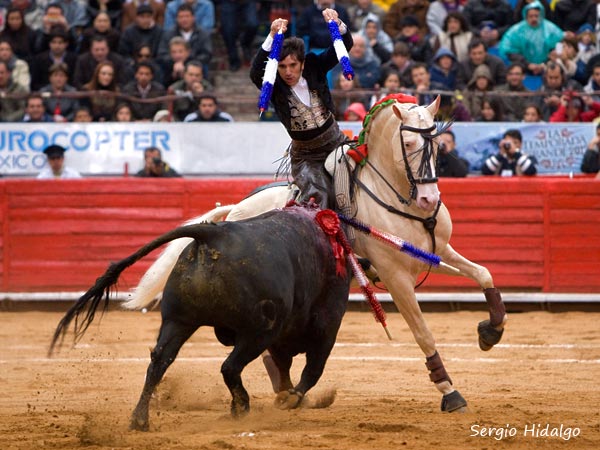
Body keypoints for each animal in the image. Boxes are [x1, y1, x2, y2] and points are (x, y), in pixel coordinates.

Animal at [48, 206, 352, 430]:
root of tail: (212, 235)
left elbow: (283, 365)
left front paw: (287, 397)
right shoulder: (327, 325)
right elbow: (311, 368)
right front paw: (292, 399)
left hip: (178, 321)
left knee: (159, 361)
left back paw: (140, 419)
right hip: (258, 330)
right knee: (230, 366)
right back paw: (242, 408)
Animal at [126, 96, 506, 414]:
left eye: (437, 144)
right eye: (409, 144)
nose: (429, 200)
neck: (396, 196)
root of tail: (234, 211)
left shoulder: (436, 252)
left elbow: (483, 273)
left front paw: (491, 332)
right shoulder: (395, 275)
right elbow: (423, 332)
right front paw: (449, 392)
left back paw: (286, 392)